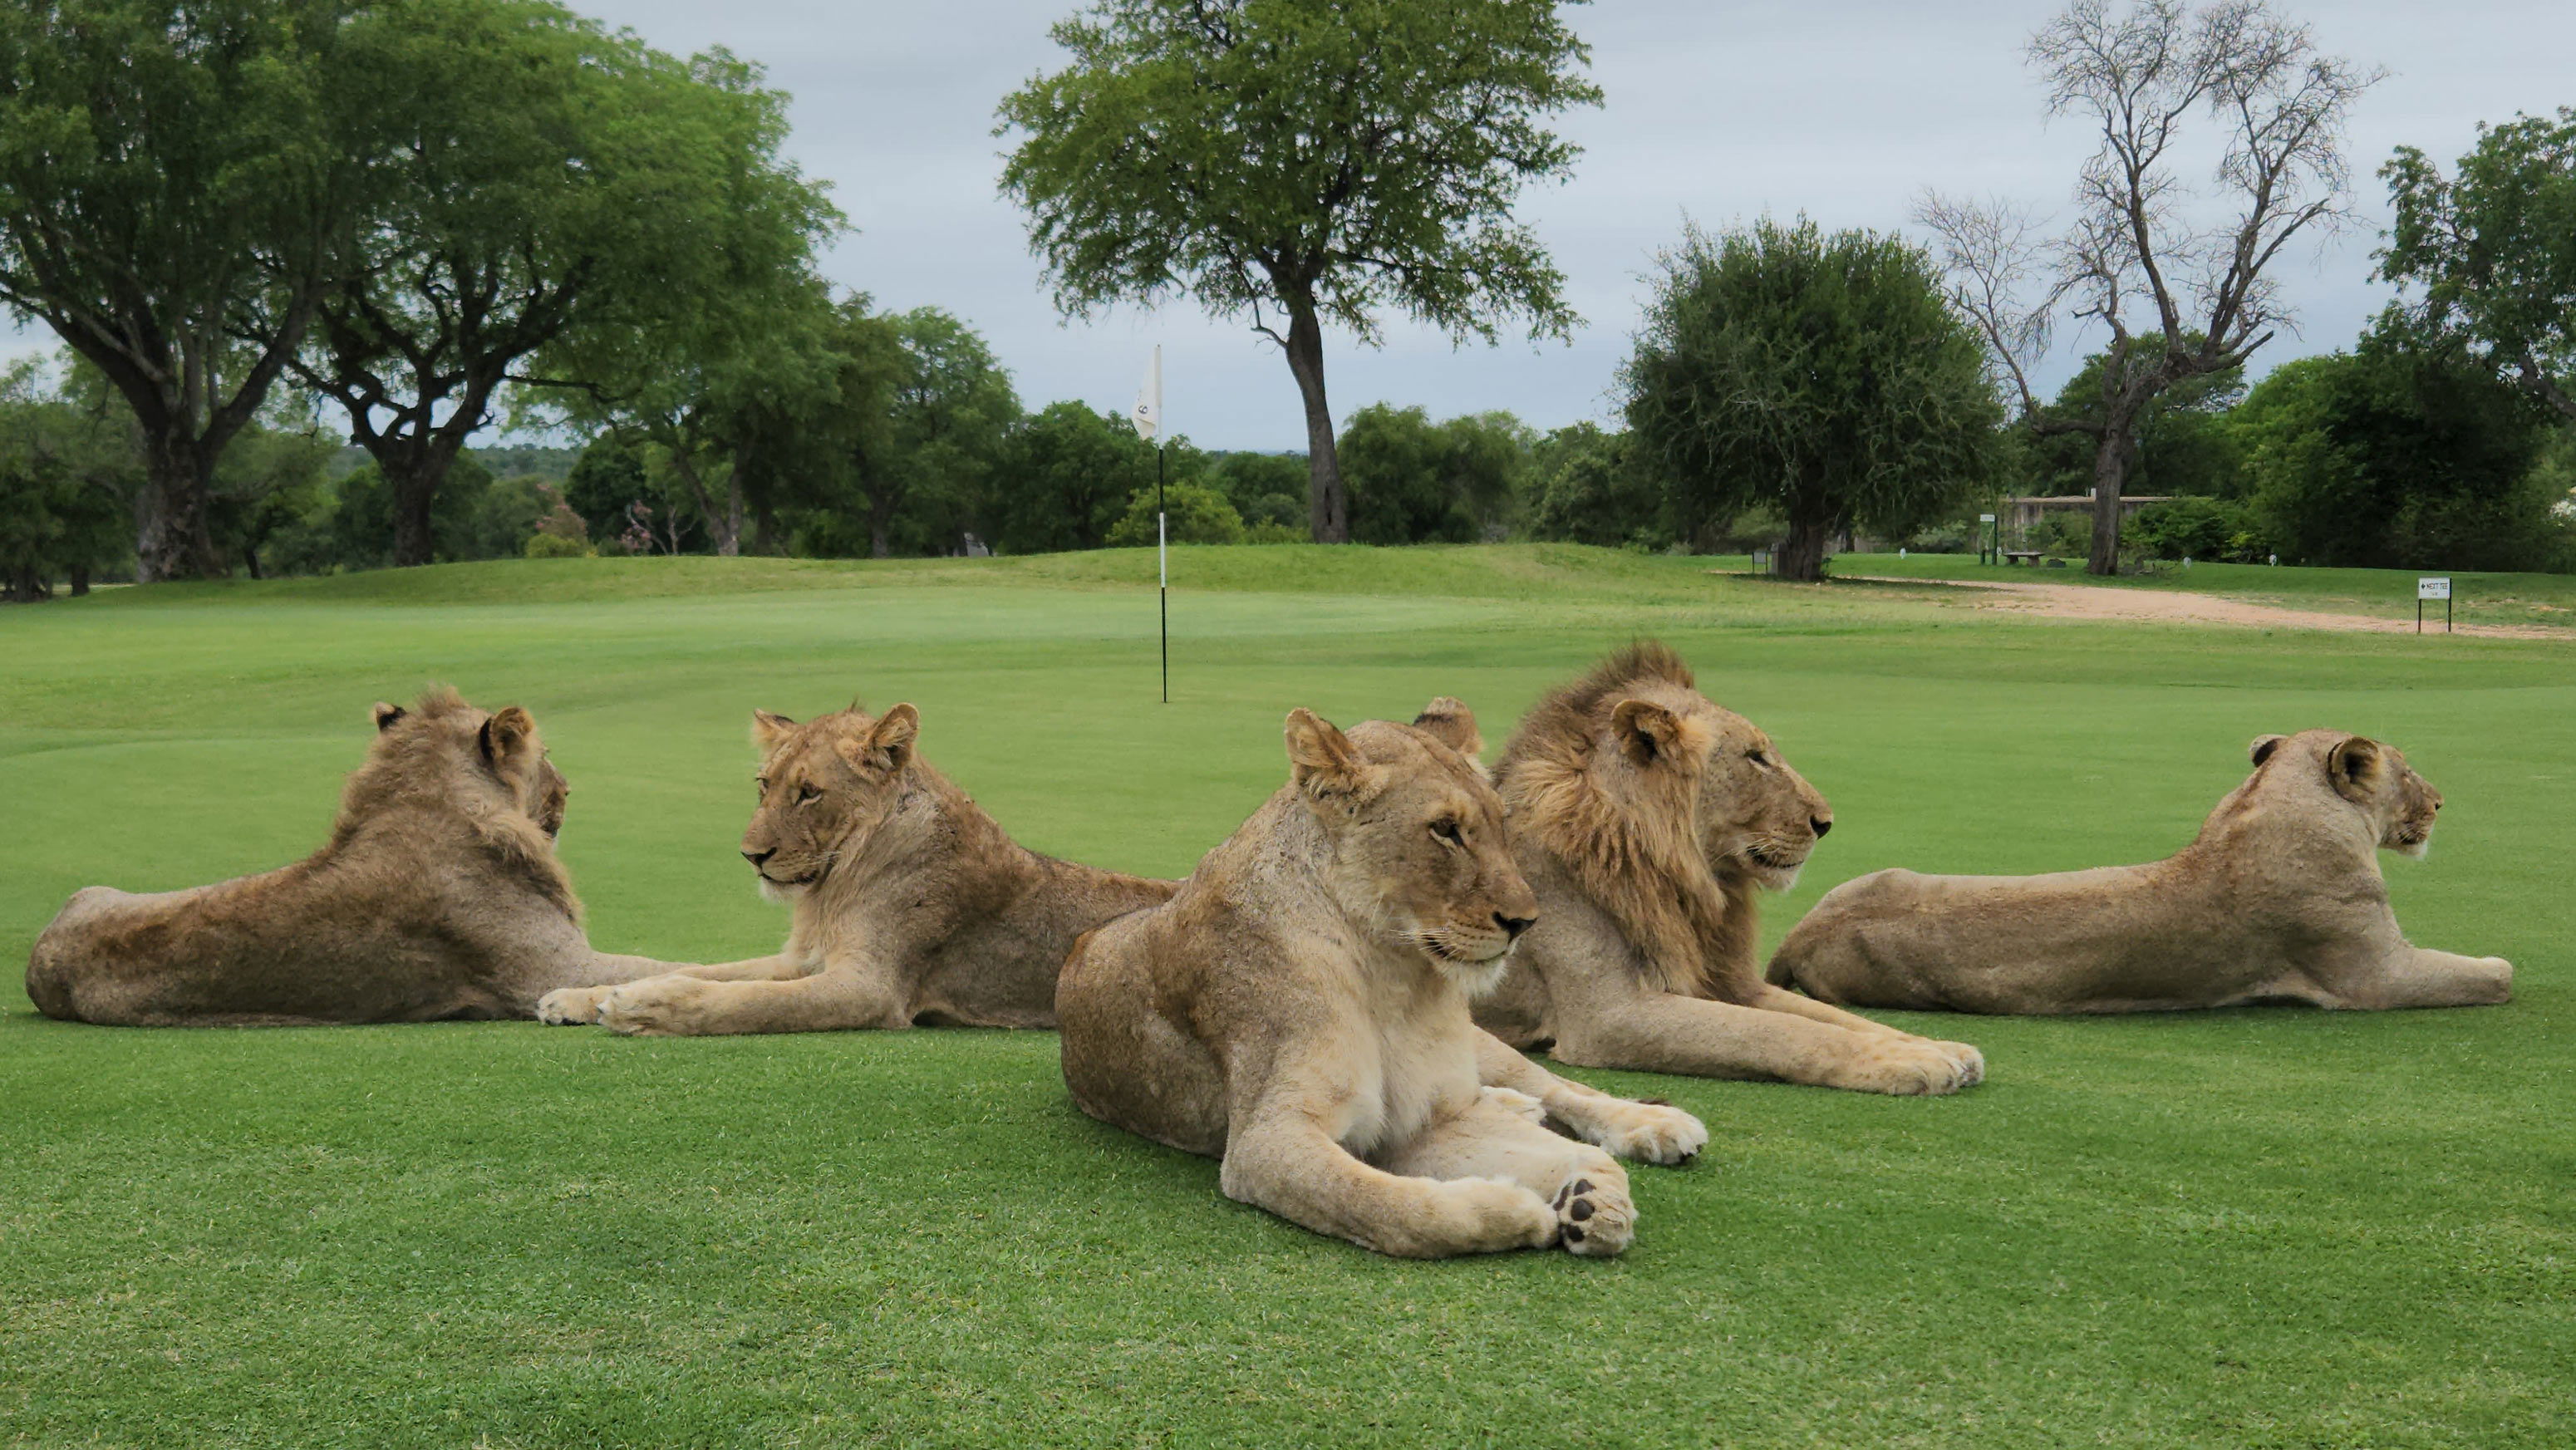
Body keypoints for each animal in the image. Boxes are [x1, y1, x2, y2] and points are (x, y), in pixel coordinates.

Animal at [24, 689, 692, 1026]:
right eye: (544, 753)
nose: (570, 789)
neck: (434, 803)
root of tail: (36, 956)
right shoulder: (548, 970)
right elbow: (672, 964)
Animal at [537, 701, 1175, 1035]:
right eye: (765, 785)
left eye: (809, 793)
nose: (751, 856)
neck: (832, 886)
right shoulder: (800, 958)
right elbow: (711, 969)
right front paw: (578, 995)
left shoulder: (871, 987)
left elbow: (746, 999)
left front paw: (641, 1007)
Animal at [1057, 700, 1709, 1259]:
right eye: (1445, 829)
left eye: (1502, 824)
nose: (1526, 922)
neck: (1393, 972)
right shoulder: (1267, 1140)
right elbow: (1392, 1208)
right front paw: (1523, 1210)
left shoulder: (1428, 1115)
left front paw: (1592, 1193)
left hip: (1484, 1045)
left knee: (1556, 1085)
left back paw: (1654, 1124)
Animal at [1471, 645, 1985, 1095]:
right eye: (1756, 758)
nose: (1825, 823)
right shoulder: (1611, 1015)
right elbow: (1780, 1032)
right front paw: (1912, 1061)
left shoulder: (1733, 982)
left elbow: (1833, 1018)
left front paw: (1938, 1047)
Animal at [1765, 729, 2513, 1014]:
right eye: (2408, 772)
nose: (2440, 802)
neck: (2269, 801)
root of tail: (1797, 934)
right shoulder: (2372, 974)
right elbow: (2490, 976)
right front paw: (2500, 964)